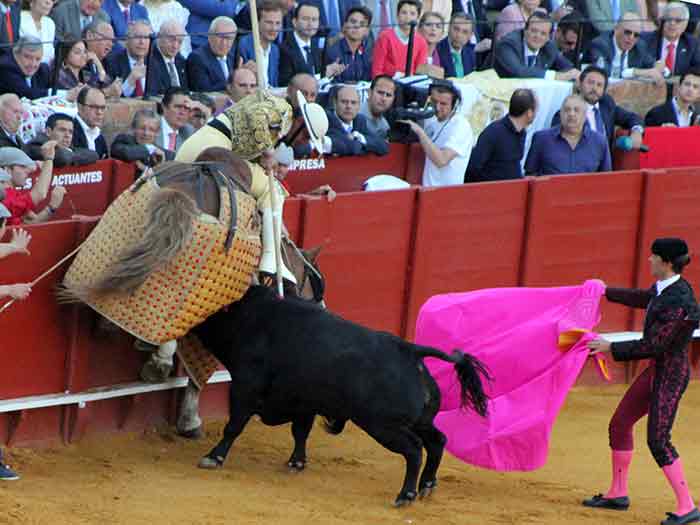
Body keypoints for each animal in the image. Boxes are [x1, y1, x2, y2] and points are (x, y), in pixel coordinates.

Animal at [190, 284, 486, 506]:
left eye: (211, 312)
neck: (250, 318)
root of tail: (410, 351)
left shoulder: (245, 388)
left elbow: (234, 426)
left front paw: (213, 457)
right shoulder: (304, 402)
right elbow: (300, 432)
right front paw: (296, 463)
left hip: (382, 424)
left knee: (414, 449)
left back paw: (406, 495)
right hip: (419, 420)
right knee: (437, 440)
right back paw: (426, 485)